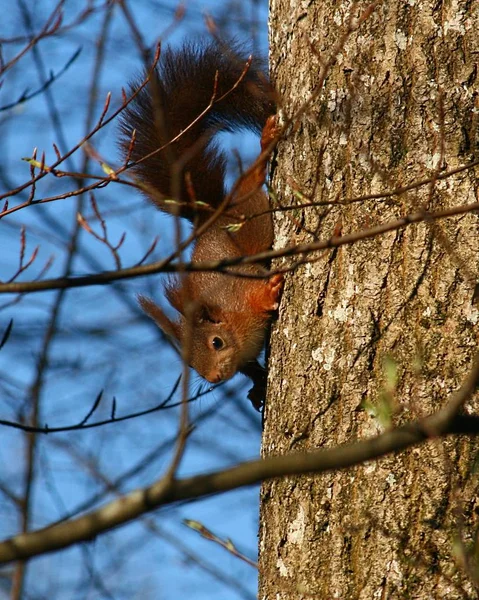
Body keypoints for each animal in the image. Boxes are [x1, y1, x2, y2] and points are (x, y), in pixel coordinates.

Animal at [120, 41, 284, 404]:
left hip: (244, 208)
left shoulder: (240, 292)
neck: (232, 322)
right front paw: (257, 386)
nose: (215, 377)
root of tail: (210, 216)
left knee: (250, 181)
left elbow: (257, 292)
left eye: (216, 343)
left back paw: (266, 143)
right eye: (190, 364)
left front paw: (269, 293)